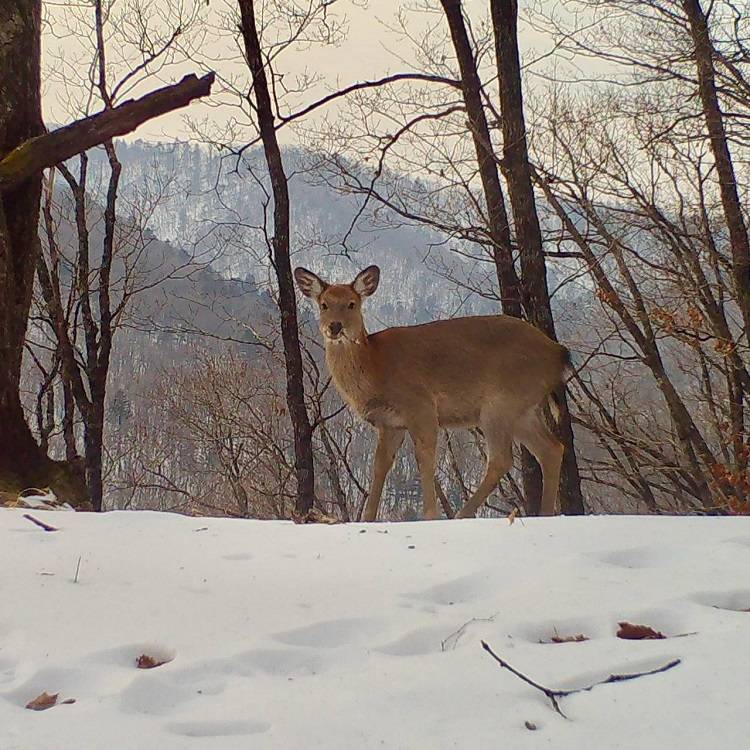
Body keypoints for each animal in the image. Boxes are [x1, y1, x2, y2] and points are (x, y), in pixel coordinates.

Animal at [296, 266, 572, 524]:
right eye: (324, 304)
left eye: (351, 304)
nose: (334, 326)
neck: (375, 367)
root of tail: (559, 352)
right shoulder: (390, 423)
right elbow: (380, 465)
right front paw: (366, 518)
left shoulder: (421, 405)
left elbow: (424, 457)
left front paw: (430, 515)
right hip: (524, 409)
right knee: (551, 448)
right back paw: (545, 513)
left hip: (501, 402)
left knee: (502, 458)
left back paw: (462, 514)